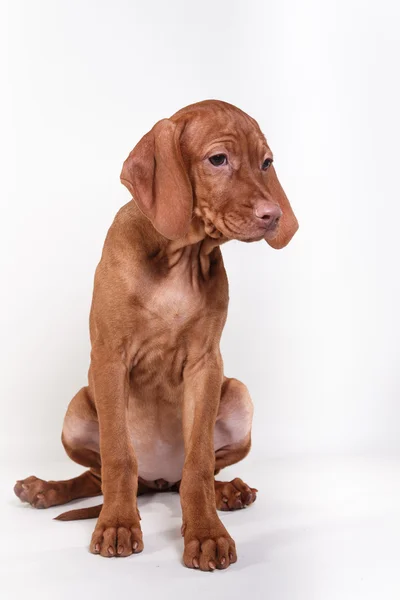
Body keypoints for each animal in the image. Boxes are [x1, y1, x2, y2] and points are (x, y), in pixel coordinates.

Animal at [14, 99, 296, 572]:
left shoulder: (206, 365)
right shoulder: (109, 359)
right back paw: (46, 490)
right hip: (78, 408)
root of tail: (158, 480)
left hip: (236, 391)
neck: (179, 258)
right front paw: (117, 525)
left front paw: (206, 532)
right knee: (96, 475)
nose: (272, 215)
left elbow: (199, 461)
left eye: (266, 163)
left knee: (194, 473)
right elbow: (117, 457)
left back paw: (227, 492)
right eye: (218, 159)